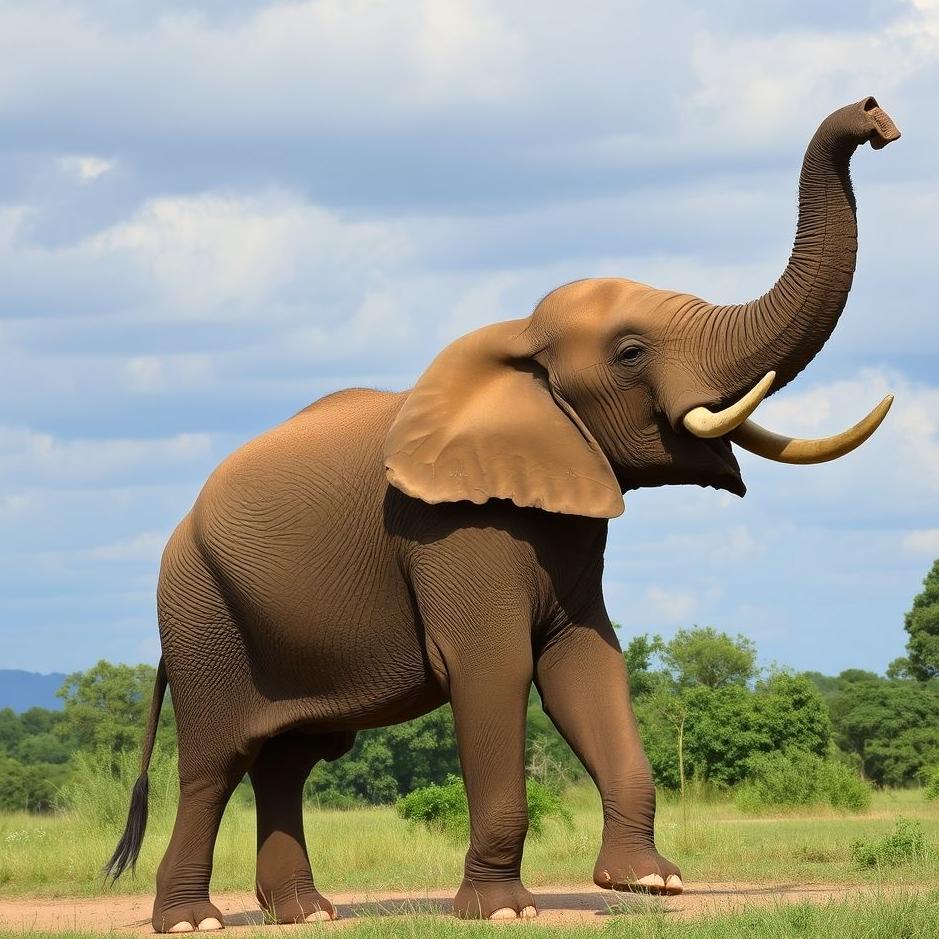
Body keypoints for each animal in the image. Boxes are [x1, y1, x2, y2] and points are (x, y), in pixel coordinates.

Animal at [106, 97, 899, 932]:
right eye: (629, 352)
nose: (875, 118)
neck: (518, 340)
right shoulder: (451, 529)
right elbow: (495, 667)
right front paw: (502, 909)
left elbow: (586, 663)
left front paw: (648, 884)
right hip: (203, 614)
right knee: (215, 760)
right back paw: (193, 919)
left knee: (293, 756)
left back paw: (307, 913)